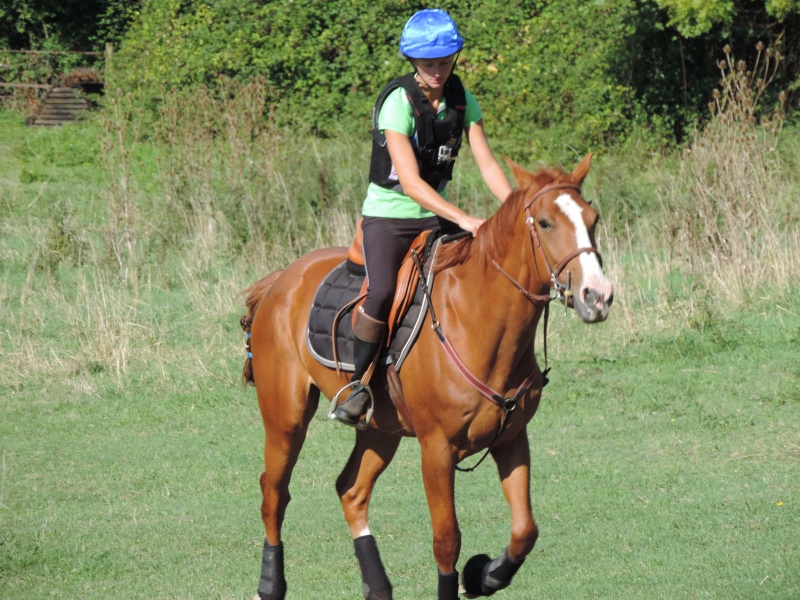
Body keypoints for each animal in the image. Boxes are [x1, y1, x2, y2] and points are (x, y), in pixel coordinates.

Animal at [241, 155, 616, 600]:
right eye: (544, 223)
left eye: (592, 218)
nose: (598, 295)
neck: (479, 321)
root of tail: (279, 280)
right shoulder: (436, 450)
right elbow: (447, 539)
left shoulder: (511, 439)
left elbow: (525, 530)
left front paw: (484, 574)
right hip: (286, 418)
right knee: (273, 493)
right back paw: (269, 582)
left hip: (380, 431)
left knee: (351, 491)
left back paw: (377, 585)